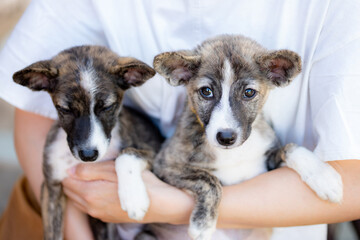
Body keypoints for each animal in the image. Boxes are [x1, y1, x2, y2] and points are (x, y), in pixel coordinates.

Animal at [12, 45, 164, 240]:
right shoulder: (51, 187)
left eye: (107, 107)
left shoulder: (156, 154)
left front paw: (134, 199)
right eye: (65, 110)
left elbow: (127, 154)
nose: (88, 155)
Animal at [142, 34, 342, 240]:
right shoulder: (165, 164)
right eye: (206, 92)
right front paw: (202, 224)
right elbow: (208, 180)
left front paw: (323, 176)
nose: (225, 137)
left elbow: (290, 147)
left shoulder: (266, 163)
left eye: (249, 93)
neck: (233, 153)